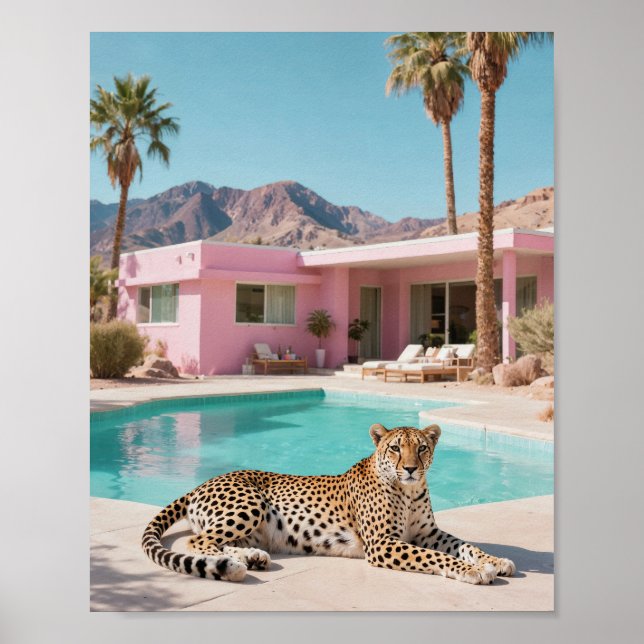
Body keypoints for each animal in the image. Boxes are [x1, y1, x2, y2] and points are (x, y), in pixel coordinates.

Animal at [142, 423, 516, 585]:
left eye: (422, 448)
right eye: (396, 448)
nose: (410, 468)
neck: (408, 491)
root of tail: (202, 481)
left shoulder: (428, 534)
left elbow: (465, 545)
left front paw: (494, 560)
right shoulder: (383, 544)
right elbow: (436, 557)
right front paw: (471, 570)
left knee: (219, 540)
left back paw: (253, 557)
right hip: (252, 503)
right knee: (198, 540)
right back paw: (235, 563)